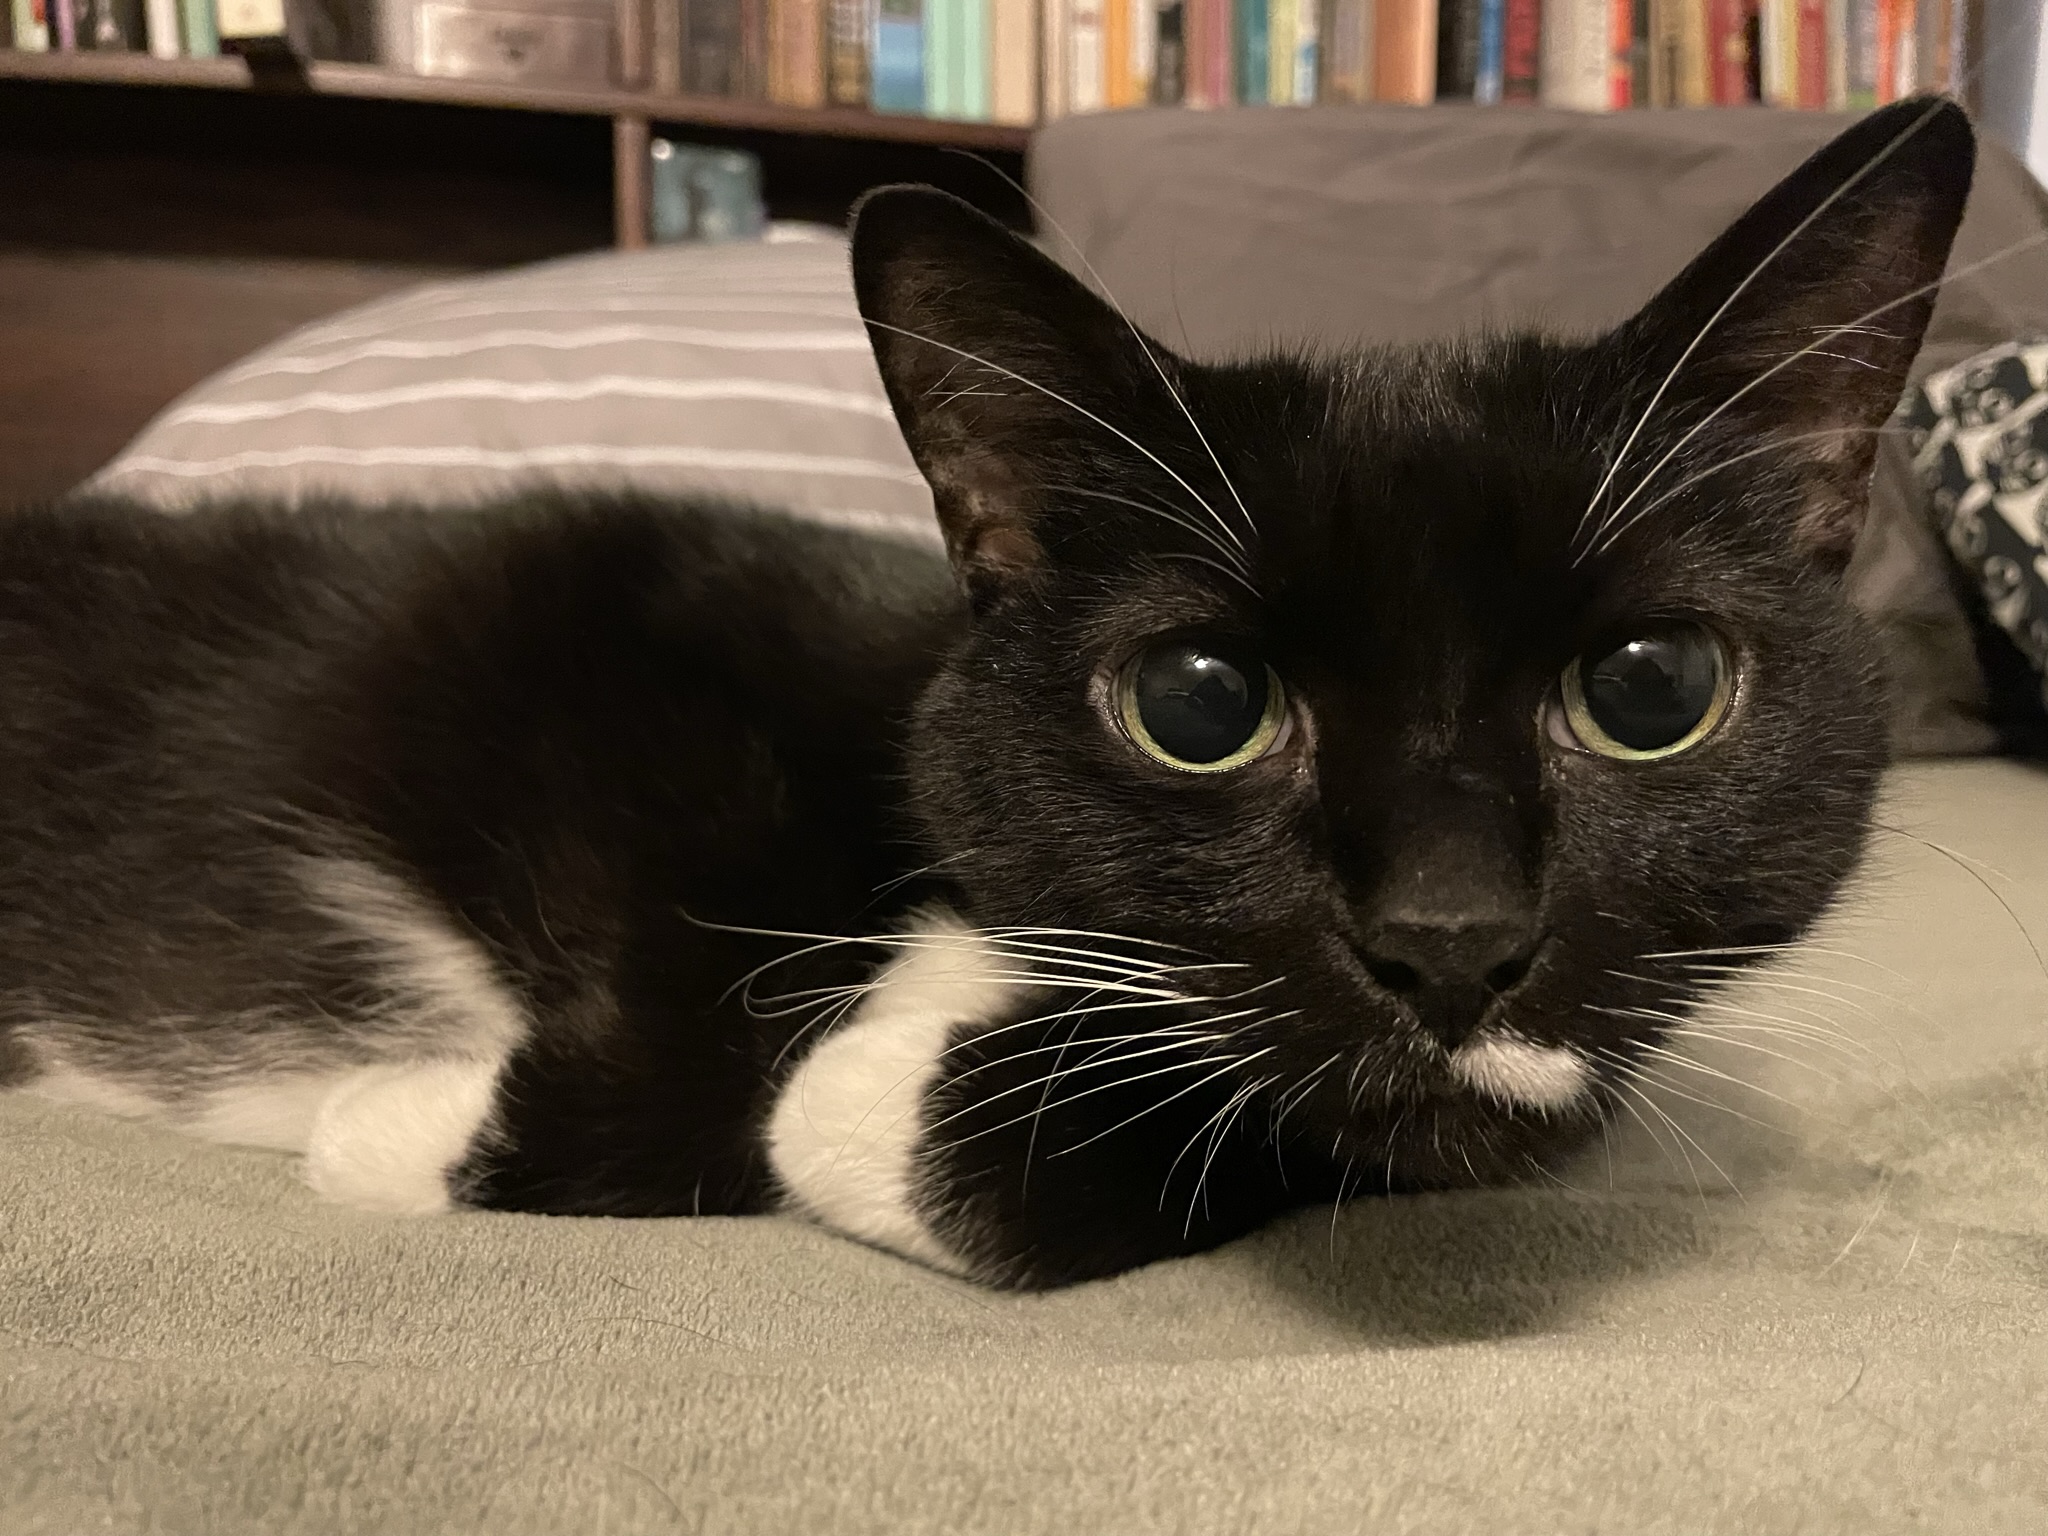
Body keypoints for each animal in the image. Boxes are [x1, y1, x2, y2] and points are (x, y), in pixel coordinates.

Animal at [4, 102, 1982, 1294]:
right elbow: (690, 1038)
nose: (1450, 935)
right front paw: (393, 1121)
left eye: (1650, 690)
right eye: (1198, 703)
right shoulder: (603, 610)